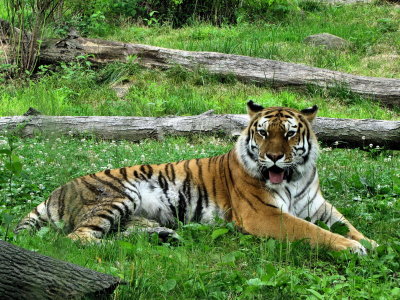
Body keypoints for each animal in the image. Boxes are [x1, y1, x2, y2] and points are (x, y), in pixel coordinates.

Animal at [16, 101, 378, 253]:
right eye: (263, 133)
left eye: (289, 134)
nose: (273, 156)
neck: (293, 177)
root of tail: (56, 192)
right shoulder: (263, 214)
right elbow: (311, 231)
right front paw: (352, 248)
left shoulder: (319, 206)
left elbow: (346, 225)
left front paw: (372, 243)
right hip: (119, 196)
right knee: (79, 239)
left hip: (131, 212)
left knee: (119, 232)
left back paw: (164, 237)